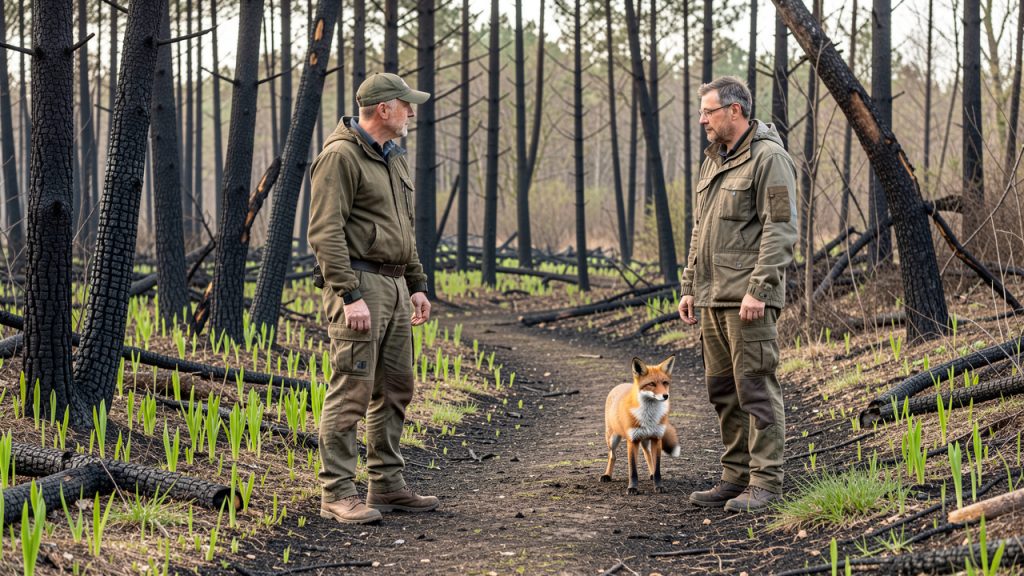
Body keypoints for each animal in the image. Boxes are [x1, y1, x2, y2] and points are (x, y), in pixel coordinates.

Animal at [600, 356, 680, 494]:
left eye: (665, 383)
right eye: (652, 384)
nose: (666, 396)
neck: (649, 416)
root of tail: (621, 385)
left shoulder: (656, 438)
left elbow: (657, 468)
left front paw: (658, 486)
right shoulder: (632, 440)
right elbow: (633, 470)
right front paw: (632, 488)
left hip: (645, 440)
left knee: (647, 454)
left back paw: (651, 473)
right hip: (612, 439)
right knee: (612, 456)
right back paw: (607, 475)